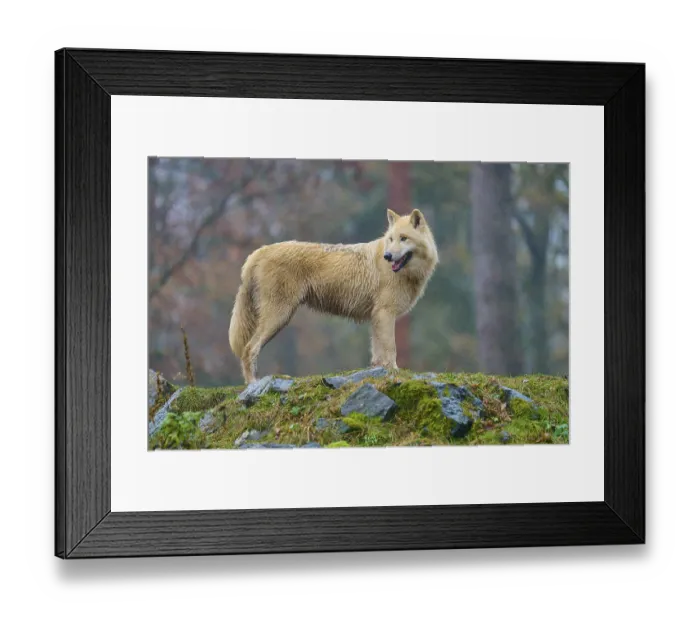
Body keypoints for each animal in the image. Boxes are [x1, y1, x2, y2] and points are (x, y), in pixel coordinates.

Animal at [229, 208, 438, 383]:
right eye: (391, 239)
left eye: (403, 238)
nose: (388, 256)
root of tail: (259, 251)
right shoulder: (385, 314)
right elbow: (390, 348)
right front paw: (394, 371)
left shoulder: (377, 317)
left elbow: (378, 353)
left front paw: (380, 371)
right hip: (279, 317)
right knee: (249, 350)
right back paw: (253, 384)